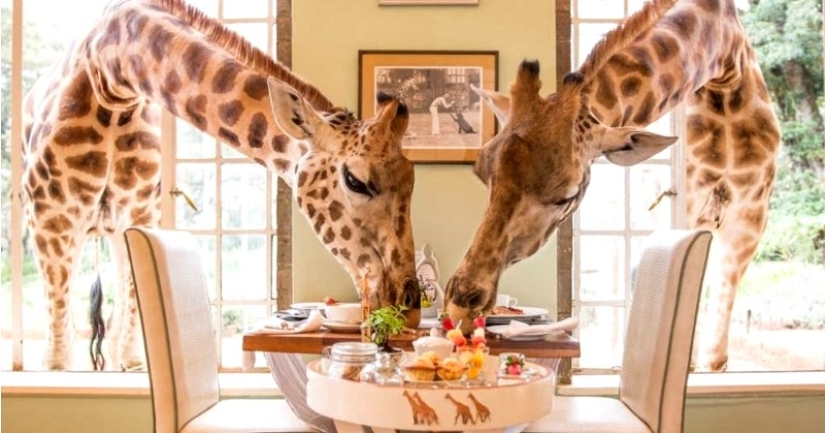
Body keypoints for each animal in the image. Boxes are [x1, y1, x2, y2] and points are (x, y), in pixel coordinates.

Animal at [22, 0, 420, 371]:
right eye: (356, 181)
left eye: (412, 182)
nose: (411, 308)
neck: (112, 77)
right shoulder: (51, 222)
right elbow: (58, 346)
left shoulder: (140, 217)